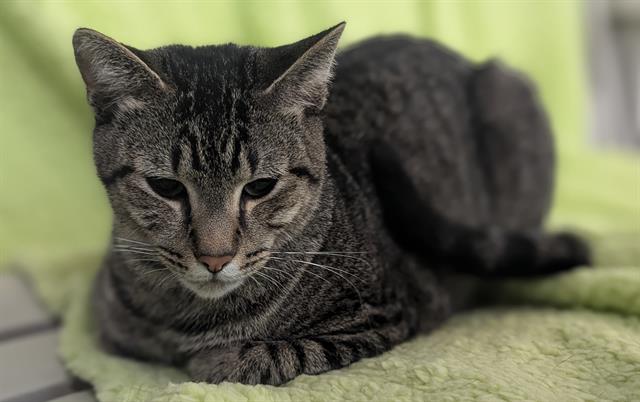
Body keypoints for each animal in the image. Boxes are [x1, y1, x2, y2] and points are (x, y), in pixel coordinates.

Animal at [71, 22, 592, 386]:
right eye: (167, 187)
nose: (215, 258)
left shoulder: (387, 311)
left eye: (259, 188)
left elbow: (277, 351)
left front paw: (217, 360)